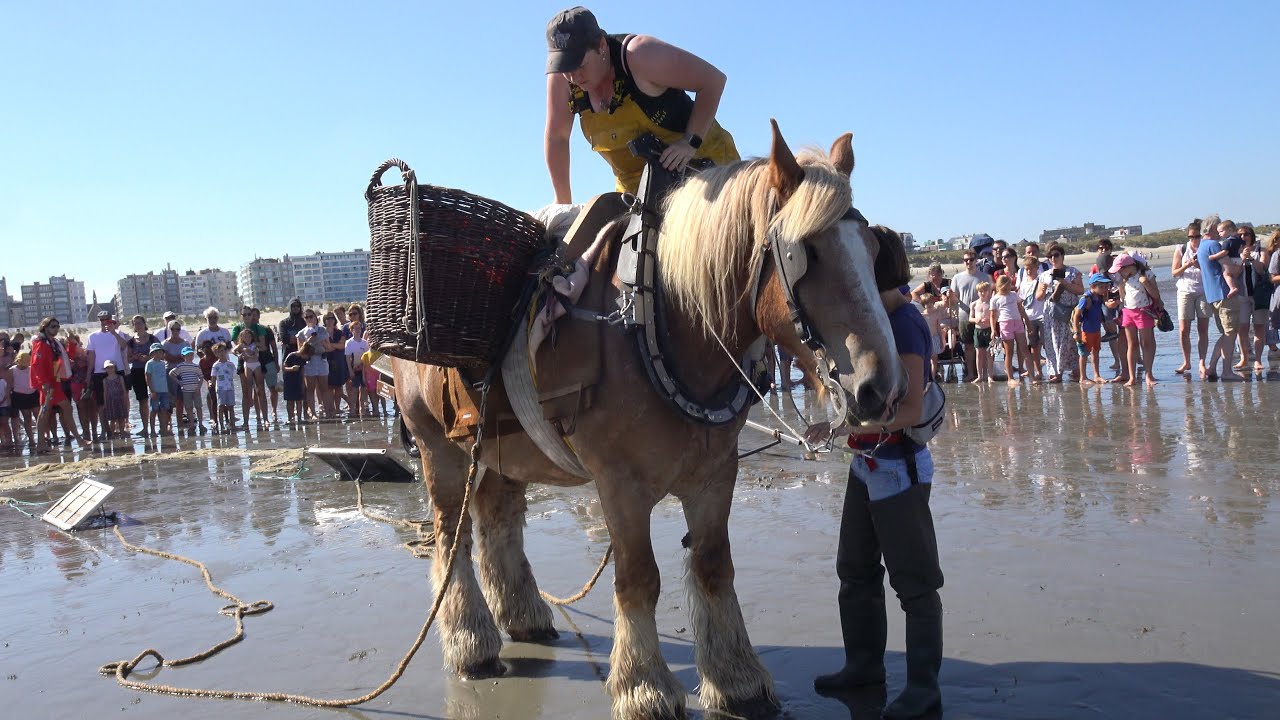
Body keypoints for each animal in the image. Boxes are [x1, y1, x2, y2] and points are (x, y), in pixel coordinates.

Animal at [392, 122, 907, 719]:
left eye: (874, 251)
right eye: (808, 254)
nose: (881, 387)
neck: (658, 319)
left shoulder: (715, 474)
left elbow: (713, 566)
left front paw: (736, 679)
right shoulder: (620, 485)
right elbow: (638, 579)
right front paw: (644, 687)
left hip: (498, 450)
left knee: (498, 521)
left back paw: (522, 614)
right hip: (439, 449)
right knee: (451, 539)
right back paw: (471, 641)